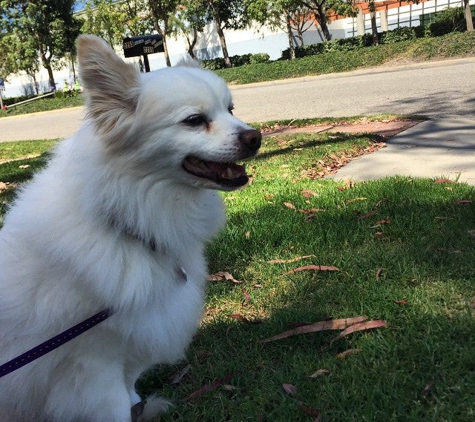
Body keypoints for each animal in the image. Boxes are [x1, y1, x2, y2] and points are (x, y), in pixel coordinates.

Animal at [0, 34, 260, 420]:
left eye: (231, 109)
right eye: (194, 120)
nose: (255, 137)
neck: (124, 223)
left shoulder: (133, 344)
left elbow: (131, 390)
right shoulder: (92, 368)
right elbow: (118, 407)